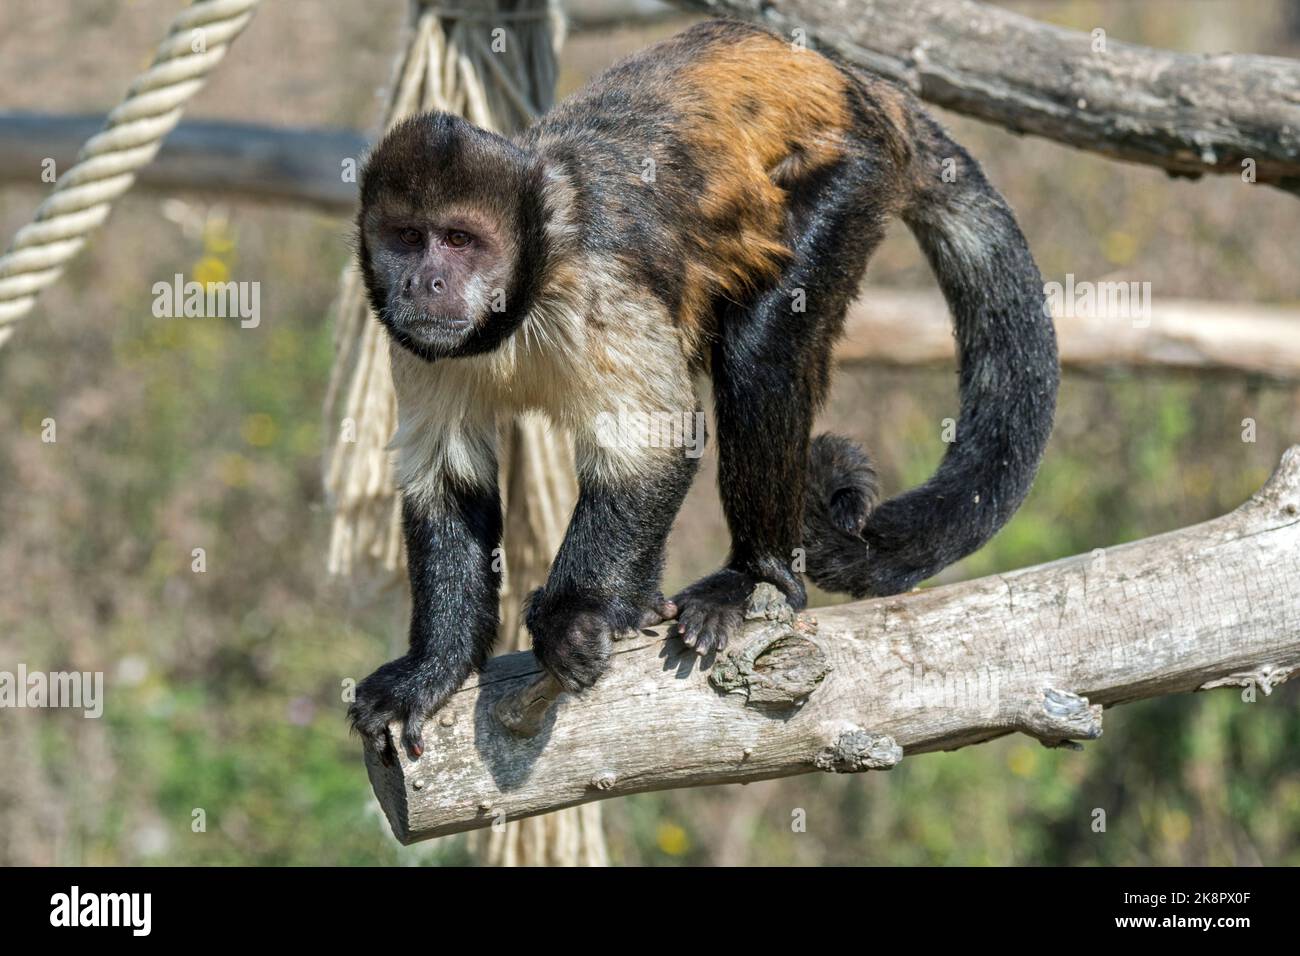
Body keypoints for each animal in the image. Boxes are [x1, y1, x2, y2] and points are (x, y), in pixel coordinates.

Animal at [347, 19, 1059, 762]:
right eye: (408, 238)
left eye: (460, 240)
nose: (425, 281)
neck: (524, 296)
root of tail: (853, 82)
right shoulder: (416, 340)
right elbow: (447, 478)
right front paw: (437, 667)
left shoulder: (595, 281)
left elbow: (657, 443)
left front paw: (576, 616)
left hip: (852, 171)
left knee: (762, 343)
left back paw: (758, 575)